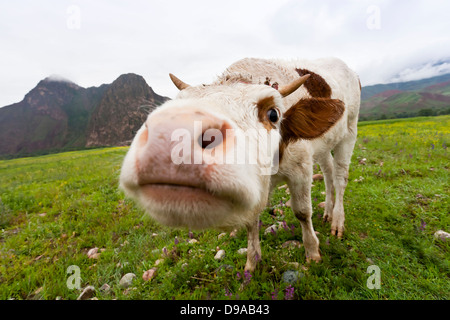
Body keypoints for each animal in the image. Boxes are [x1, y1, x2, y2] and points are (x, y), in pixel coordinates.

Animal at [118, 58, 358, 272]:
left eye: (273, 114)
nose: (172, 136)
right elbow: (252, 220)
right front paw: (252, 263)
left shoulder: (301, 168)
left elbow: (302, 212)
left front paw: (312, 252)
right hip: (325, 145)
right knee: (328, 173)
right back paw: (327, 212)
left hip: (349, 132)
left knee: (340, 178)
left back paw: (337, 221)